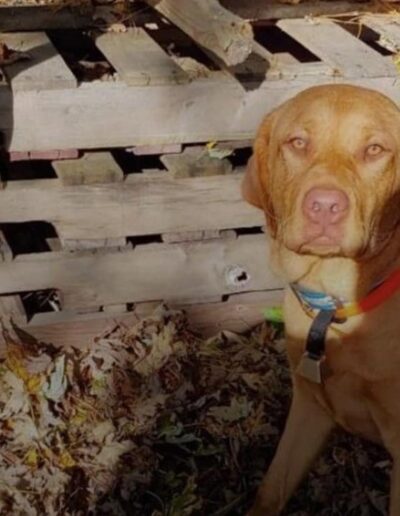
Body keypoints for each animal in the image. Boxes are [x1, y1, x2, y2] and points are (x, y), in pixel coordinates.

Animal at [244, 82, 400, 512]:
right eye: (298, 142)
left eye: (375, 149)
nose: (325, 207)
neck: (336, 306)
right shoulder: (309, 407)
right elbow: (269, 491)